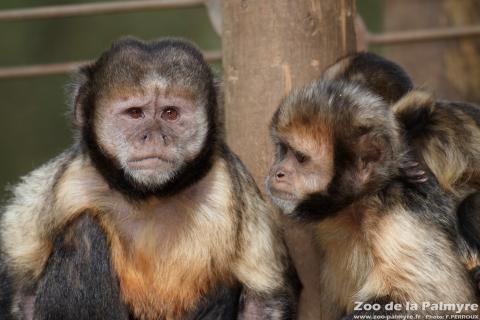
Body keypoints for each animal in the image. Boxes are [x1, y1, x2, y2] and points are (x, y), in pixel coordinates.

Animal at [0, 38, 298, 320]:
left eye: (170, 113)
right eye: (135, 113)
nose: (154, 136)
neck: (149, 195)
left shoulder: (230, 185)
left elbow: (262, 301)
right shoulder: (68, 181)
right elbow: (20, 290)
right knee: (82, 233)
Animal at [266, 78, 480, 320]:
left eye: (300, 158)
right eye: (284, 150)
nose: (277, 172)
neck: (358, 207)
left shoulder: (395, 213)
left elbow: (443, 301)